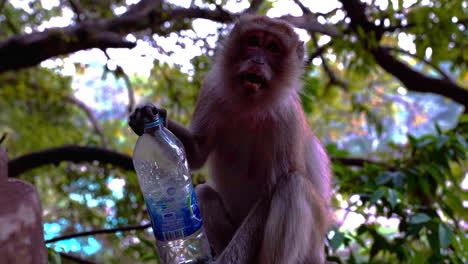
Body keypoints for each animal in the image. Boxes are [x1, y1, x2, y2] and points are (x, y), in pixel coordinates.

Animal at [130, 14, 330, 264]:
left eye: (272, 48)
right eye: (253, 41)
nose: (257, 60)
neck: (250, 105)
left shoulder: (287, 117)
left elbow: (269, 193)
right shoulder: (212, 87)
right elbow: (196, 152)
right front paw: (148, 116)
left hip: (308, 249)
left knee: (293, 185)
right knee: (203, 194)